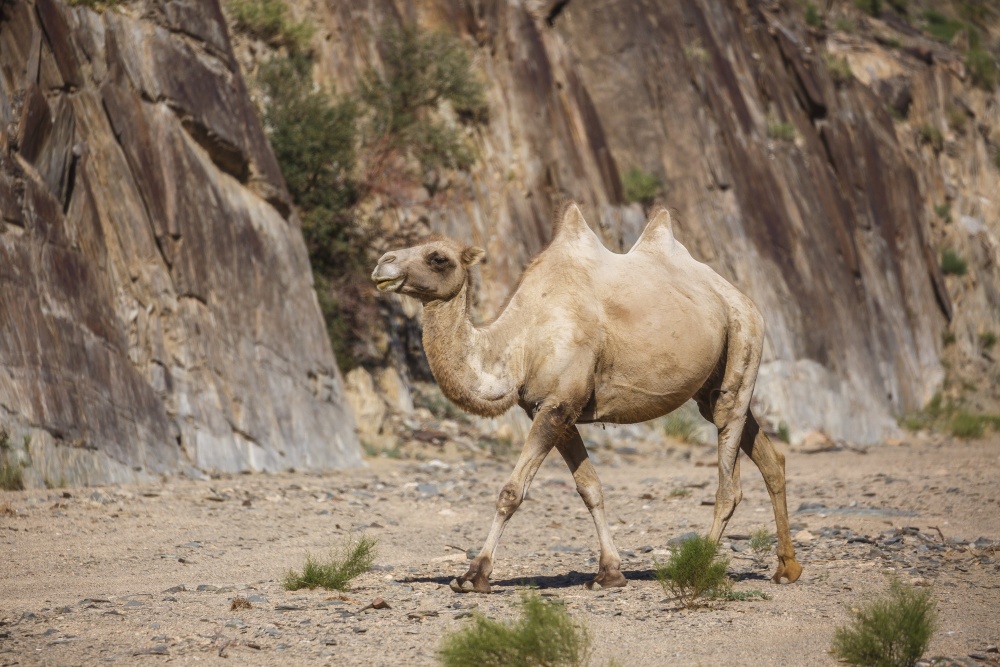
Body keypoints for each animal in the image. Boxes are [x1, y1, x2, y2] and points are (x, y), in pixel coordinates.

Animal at [370, 203, 803, 593]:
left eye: (438, 257)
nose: (382, 264)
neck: (519, 343)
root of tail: (740, 296)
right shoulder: (553, 409)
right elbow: (590, 489)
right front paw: (609, 573)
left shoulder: (559, 403)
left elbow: (511, 491)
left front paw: (473, 575)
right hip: (711, 386)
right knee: (768, 457)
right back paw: (787, 568)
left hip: (745, 340)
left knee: (729, 478)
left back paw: (699, 568)